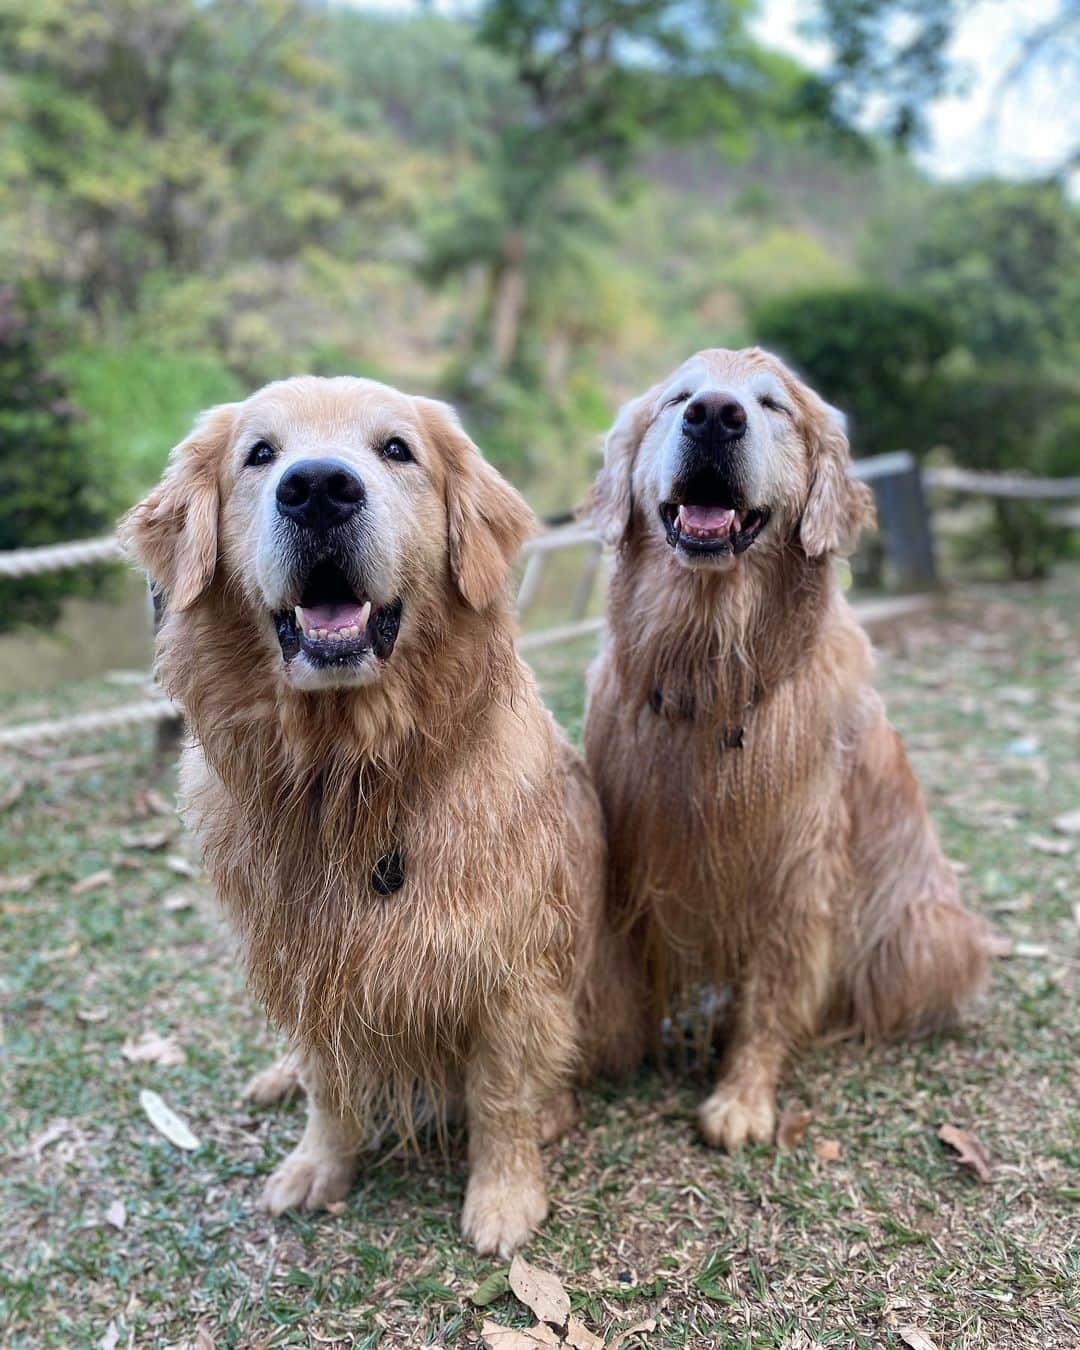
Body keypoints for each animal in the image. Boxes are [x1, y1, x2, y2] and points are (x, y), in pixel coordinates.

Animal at [121, 372, 637, 1252]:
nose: (319, 489)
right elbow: (328, 1085)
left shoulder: (511, 970)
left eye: (396, 448)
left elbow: (501, 1095)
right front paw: (318, 1165)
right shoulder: (309, 967)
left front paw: (505, 1195)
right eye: (260, 454)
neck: (352, 774)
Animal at [585, 345, 993, 1150]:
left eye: (772, 405)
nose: (714, 414)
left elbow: (772, 992)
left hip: (928, 934)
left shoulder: (796, 865)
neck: (712, 668)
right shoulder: (633, 849)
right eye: (678, 397)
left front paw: (742, 1096)